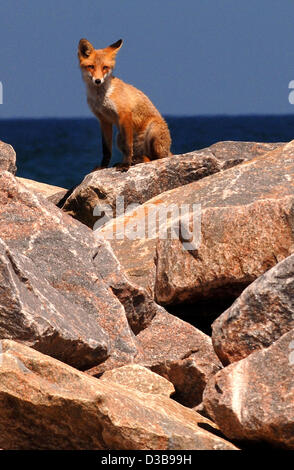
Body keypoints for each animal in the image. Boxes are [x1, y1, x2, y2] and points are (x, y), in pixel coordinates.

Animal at [78, 38, 172, 171]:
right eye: (91, 67)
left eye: (105, 67)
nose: (98, 81)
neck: (101, 98)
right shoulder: (104, 120)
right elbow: (106, 150)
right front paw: (103, 166)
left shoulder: (124, 114)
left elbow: (128, 146)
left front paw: (126, 165)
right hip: (119, 137)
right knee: (144, 157)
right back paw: (134, 160)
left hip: (153, 130)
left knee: (157, 159)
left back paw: (134, 161)